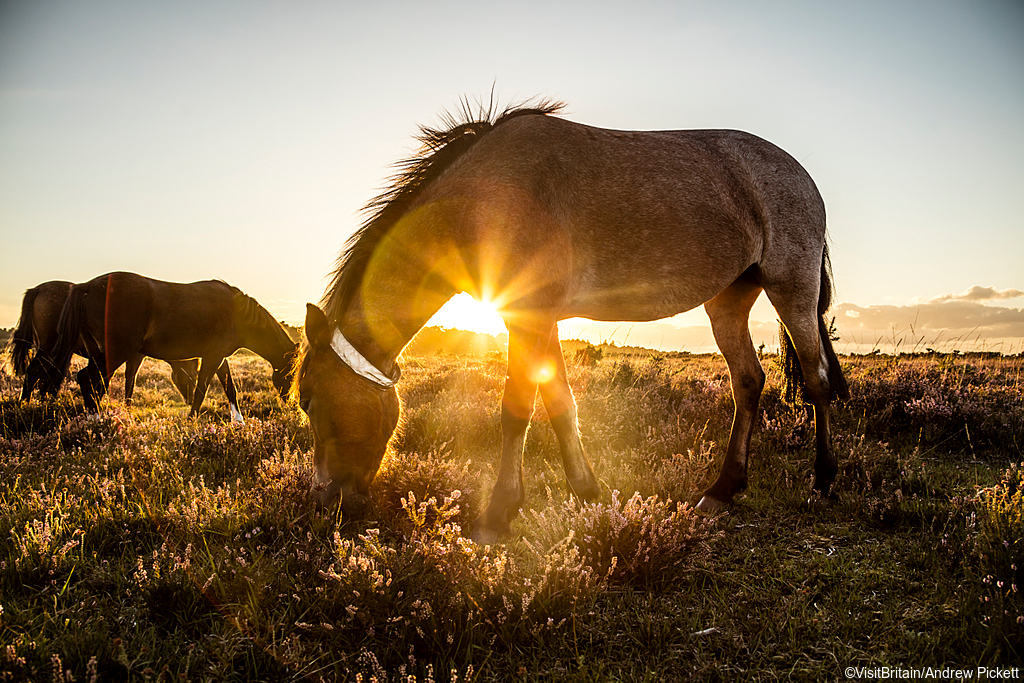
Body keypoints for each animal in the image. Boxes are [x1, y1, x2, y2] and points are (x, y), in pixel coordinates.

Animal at [7, 280, 199, 403]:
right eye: (192, 376)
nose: (190, 399)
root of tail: (37, 290)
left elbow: (107, 380)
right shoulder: (134, 356)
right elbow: (129, 380)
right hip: (47, 348)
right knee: (33, 373)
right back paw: (25, 404)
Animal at [52, 272, 297, 420]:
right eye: (292, 375)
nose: (293, 404)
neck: (237, 313)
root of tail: (86, 287)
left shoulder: (218, 357)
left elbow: (230, 388)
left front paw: (239, 422)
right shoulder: (212, 358)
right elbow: (201, 391)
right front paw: (192, 421)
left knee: (95, 384)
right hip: (115, 352)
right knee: (87, 379)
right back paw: (96, 422)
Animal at [293, 100, 849, 541]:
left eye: (309, 401)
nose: (325, 501)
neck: (482, 196)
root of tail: (800, 175)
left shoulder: (528, 317)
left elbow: (516, 410)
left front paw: (497, 514)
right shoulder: (540, 321)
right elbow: (560, 405)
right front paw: (587, 492)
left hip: (792, 293)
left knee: (817, 380)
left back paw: (824, 479)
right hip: (728, 301)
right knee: (748, 381)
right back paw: (723, 489)